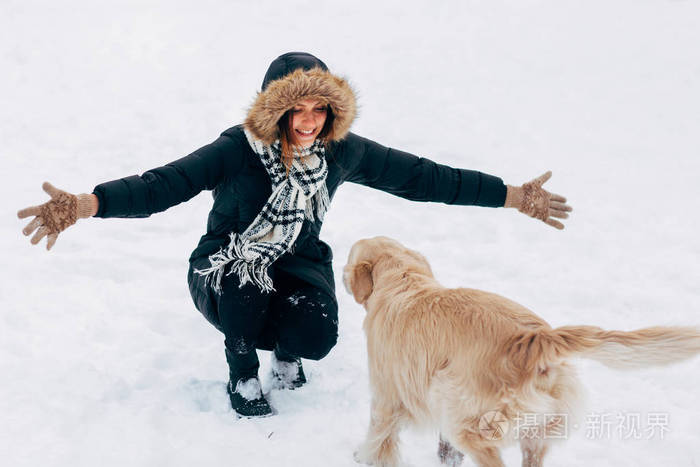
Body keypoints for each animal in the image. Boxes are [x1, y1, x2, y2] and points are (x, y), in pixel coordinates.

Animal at [342, 238, 700, 467]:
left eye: (347, 259)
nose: (342, 275)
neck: (404, 281)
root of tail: (535, 338)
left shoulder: (387, 395)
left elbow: (379, 437)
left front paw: (364, 457)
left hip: (463, 412)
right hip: (530, 430)